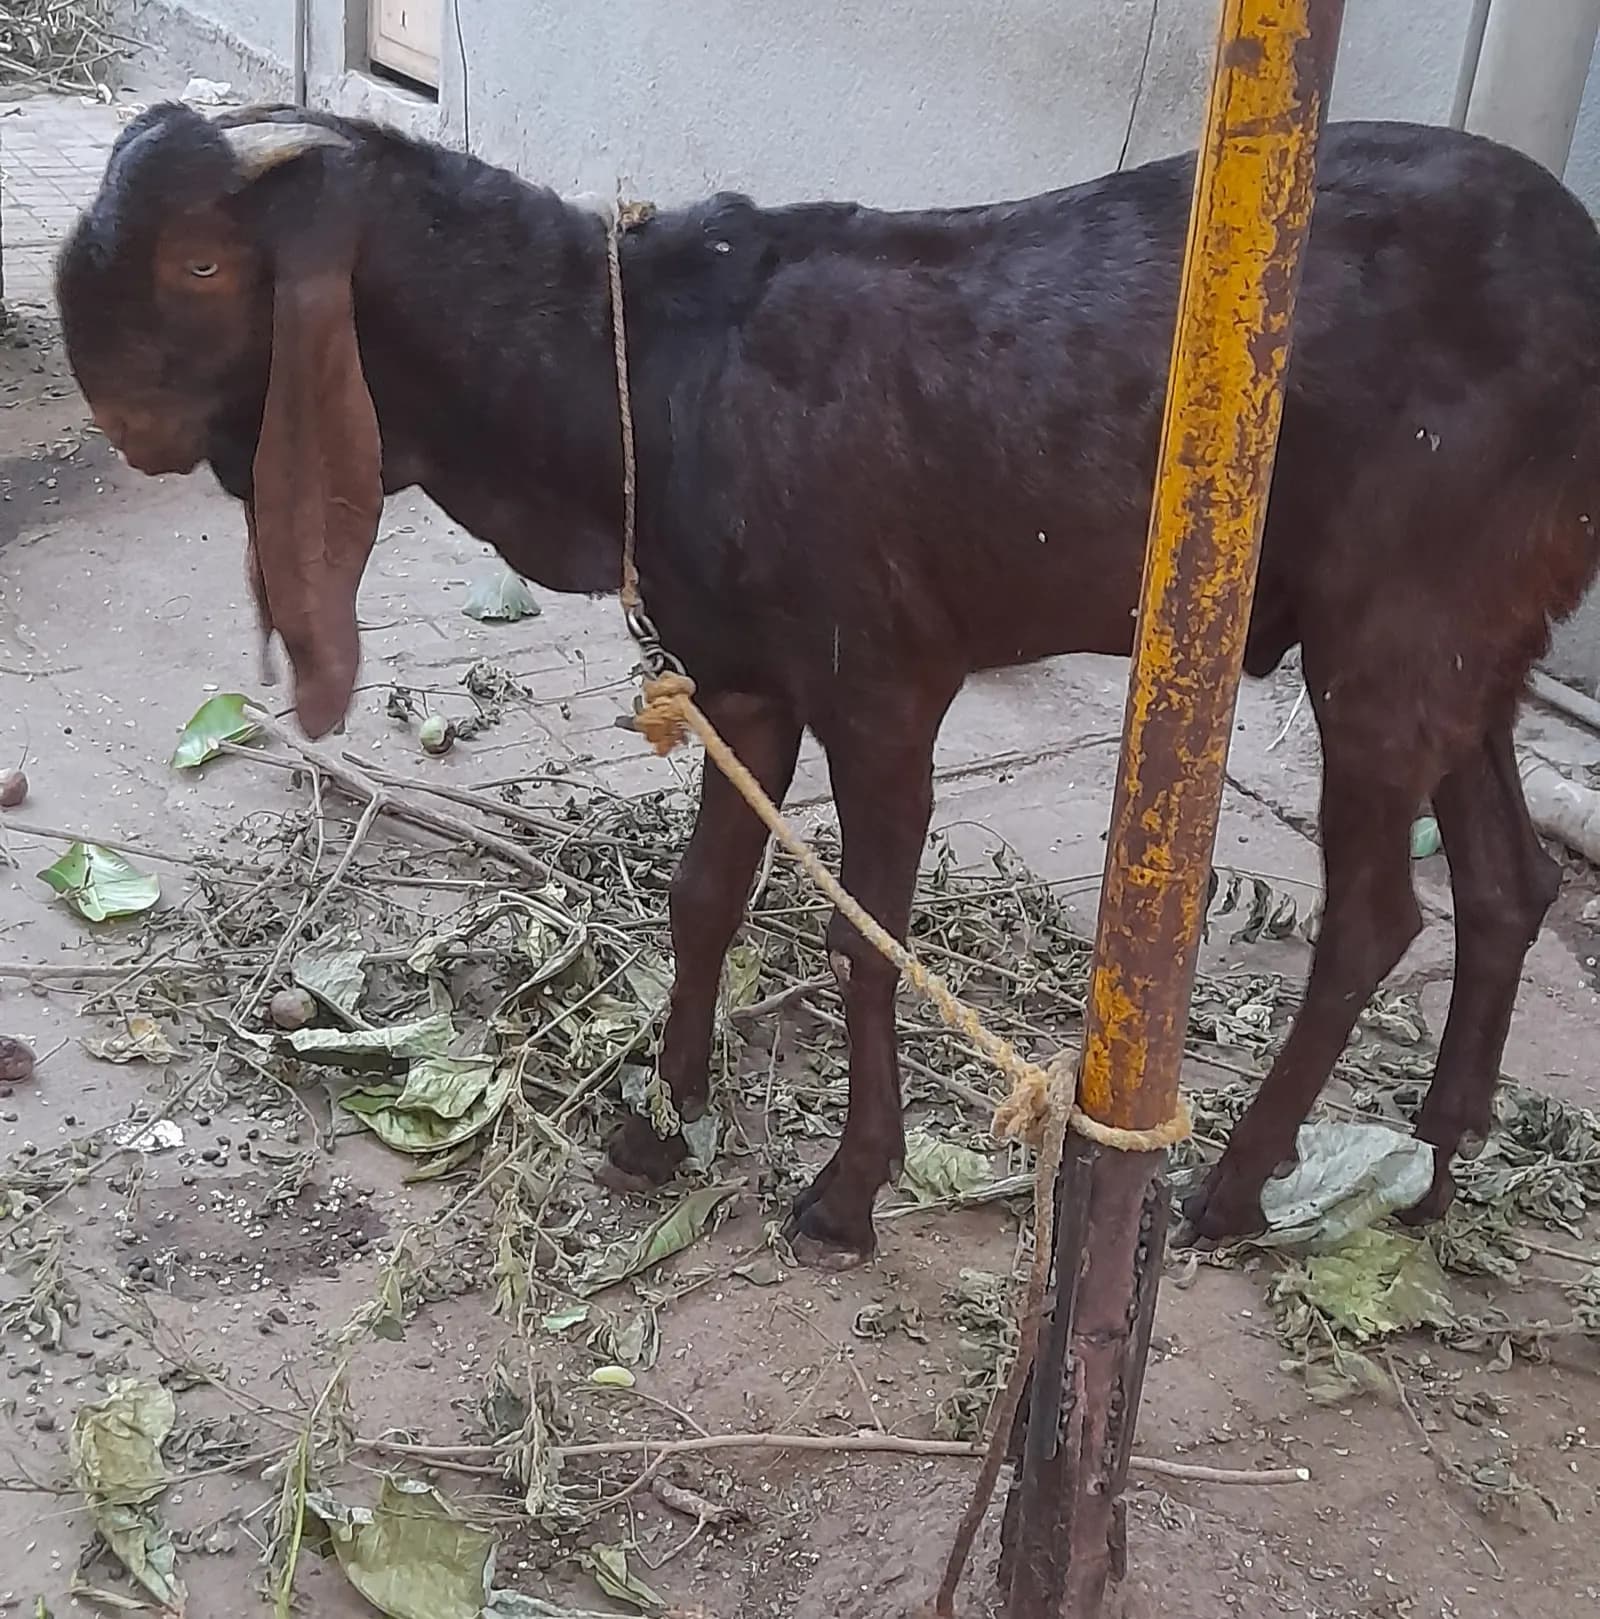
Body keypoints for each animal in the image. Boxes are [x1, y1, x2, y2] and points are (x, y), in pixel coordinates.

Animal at [56, 102, 1600, 1265]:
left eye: (202, 266)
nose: (109, 409)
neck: (641, 372)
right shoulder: (742, 680)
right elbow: (703, 897)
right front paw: (656, 1122)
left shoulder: (884, 684)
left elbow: (865, 930)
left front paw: (850, 1191)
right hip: (1475, 632)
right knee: (1509, 879)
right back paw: (1435, 1169)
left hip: (1394, 621)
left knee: (1381, 910)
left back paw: (1235, 1186)